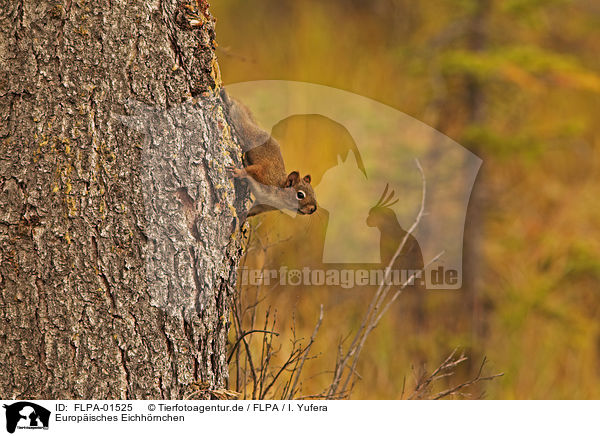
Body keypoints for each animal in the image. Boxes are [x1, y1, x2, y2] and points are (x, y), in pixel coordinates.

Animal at [221, 89, 318, 217]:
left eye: (314, 193)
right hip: (247, 134)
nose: (313, 209)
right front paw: (237, 172)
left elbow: (252, 211)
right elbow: (251, 170)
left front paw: (242, 218)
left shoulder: (263, 205)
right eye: (300, 195)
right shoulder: (265, 174)